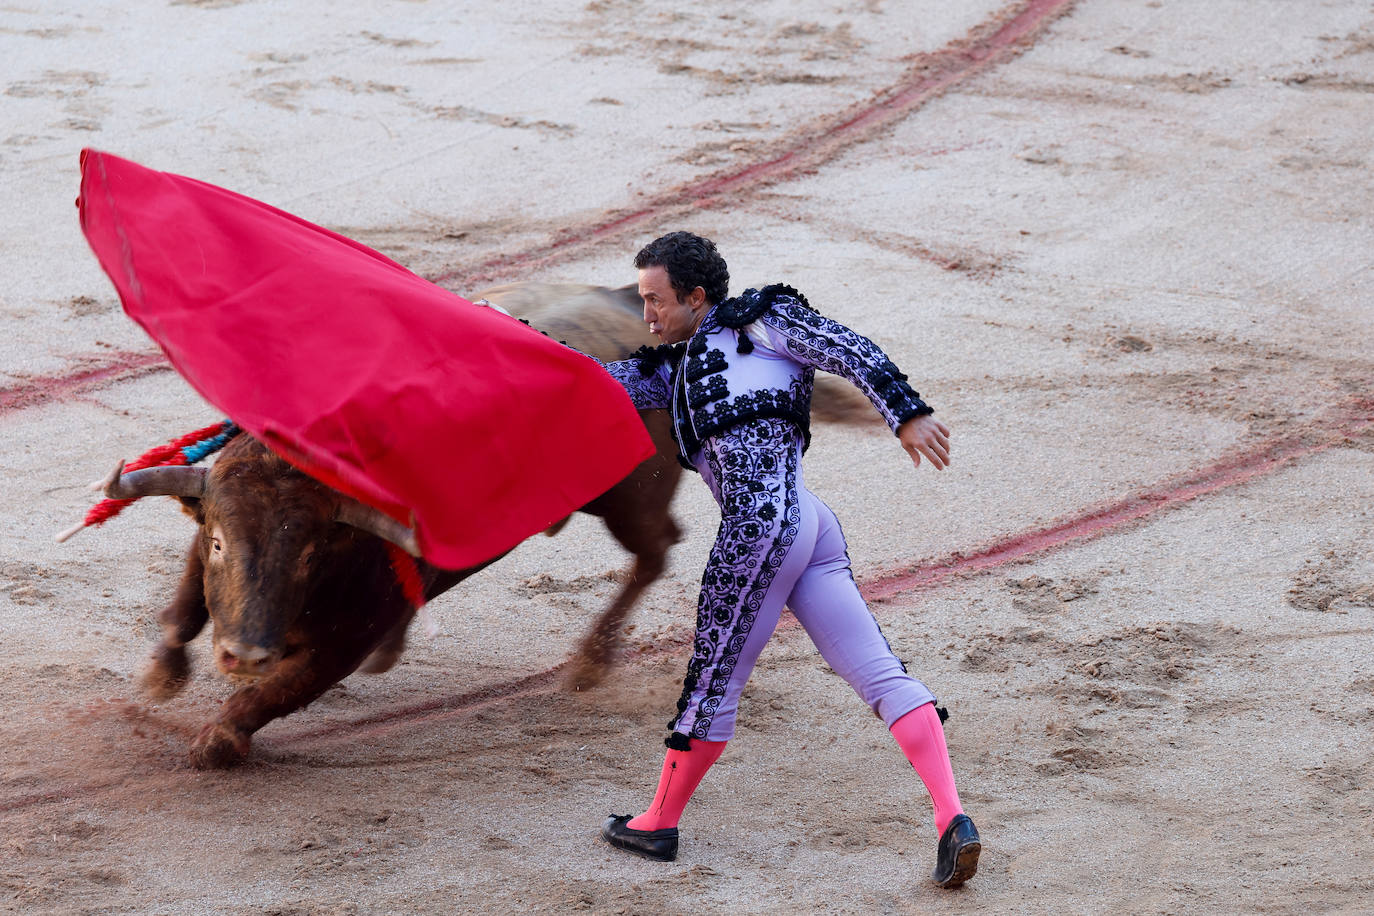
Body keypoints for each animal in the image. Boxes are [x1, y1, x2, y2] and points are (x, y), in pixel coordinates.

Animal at [104, 282, 868, 769]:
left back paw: (590, 663)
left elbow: (275, 695)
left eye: (311, 552)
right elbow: (185, 602)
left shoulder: (342, 639)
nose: (245, 654)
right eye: (222, 540)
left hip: (630, 499)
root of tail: (633, 305)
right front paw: (163, 674)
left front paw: (219, 738)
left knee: (656, 552)